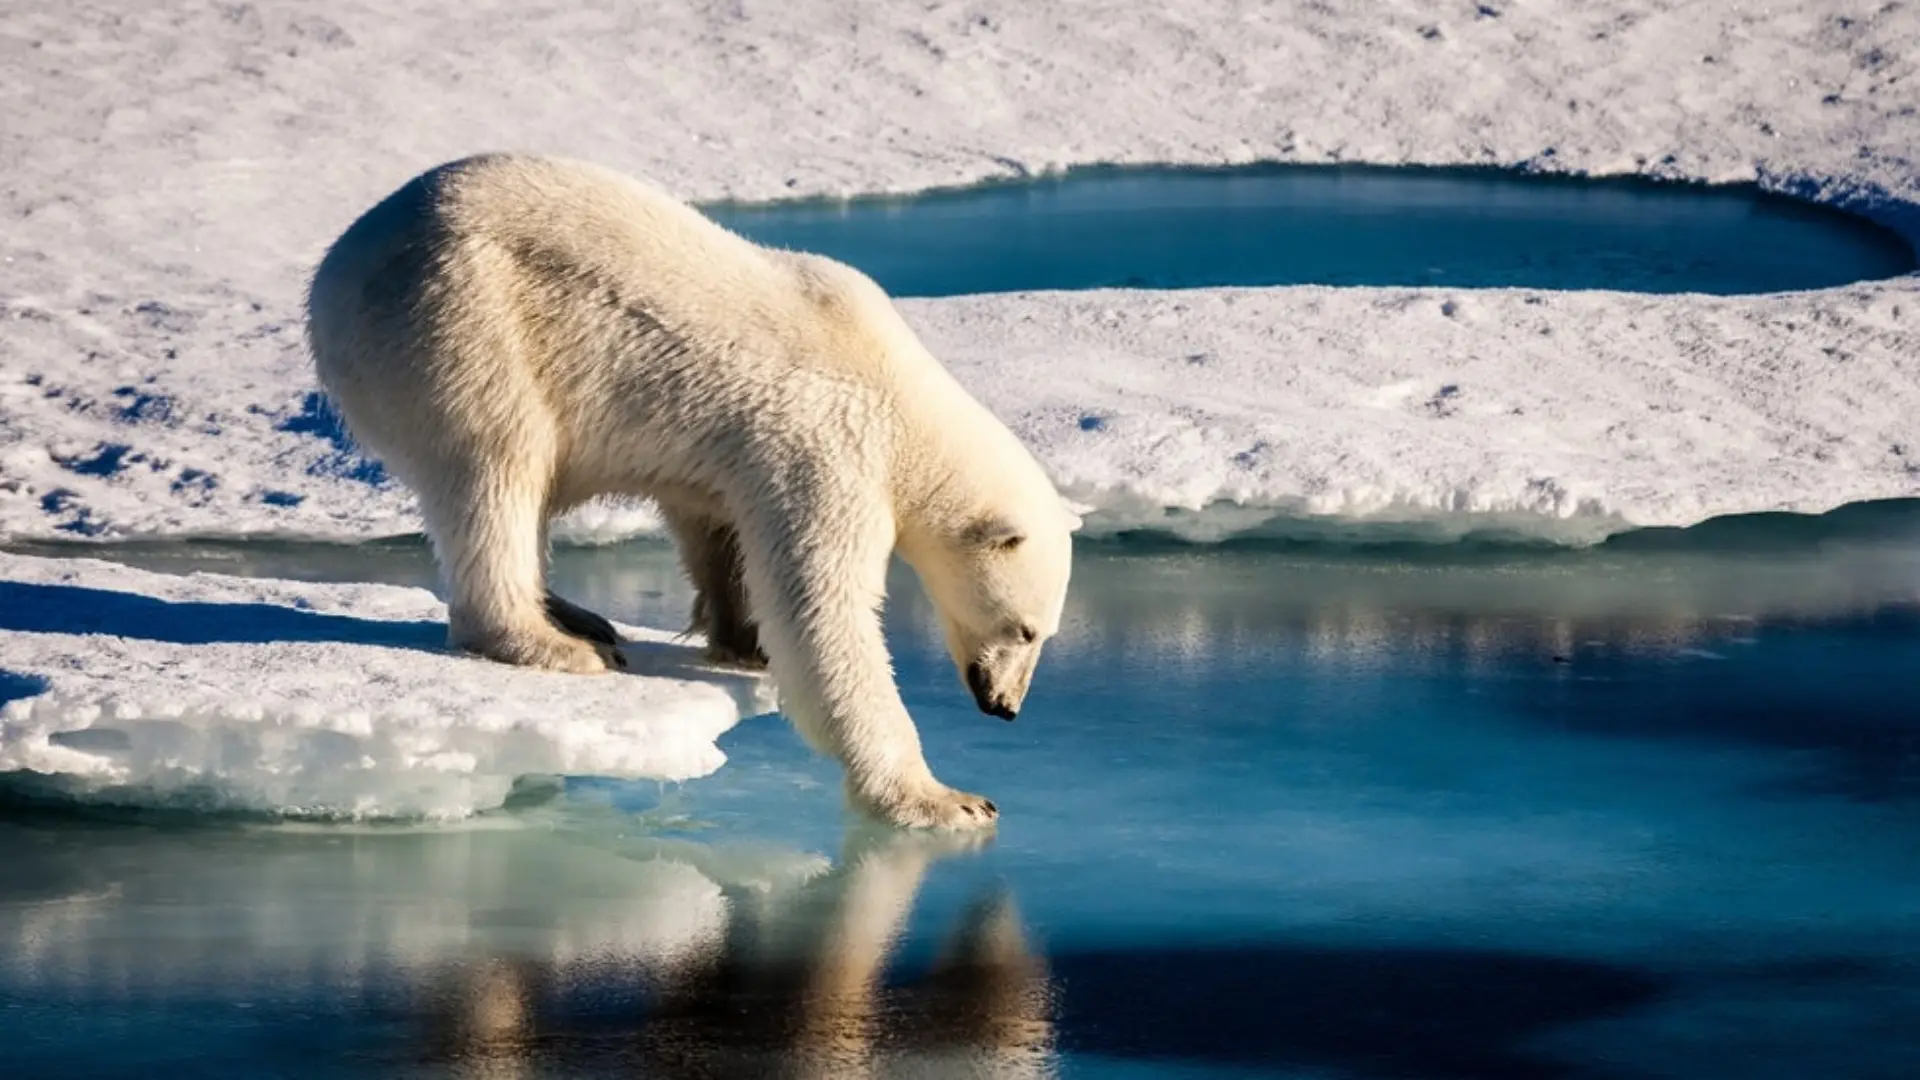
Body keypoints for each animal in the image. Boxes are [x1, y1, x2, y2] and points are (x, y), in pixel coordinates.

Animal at [307, 151, 1075, 826]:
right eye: (1026, 629)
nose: (1005, 706)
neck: (901, 396)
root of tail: (334, 273)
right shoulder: (829, 448)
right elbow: (823, 613)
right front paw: (947, 799)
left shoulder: (741, 455)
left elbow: (718, 527)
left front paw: (742, 639)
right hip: (461, 321)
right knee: (497, 467)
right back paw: (554, 642)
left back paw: (576, 614)